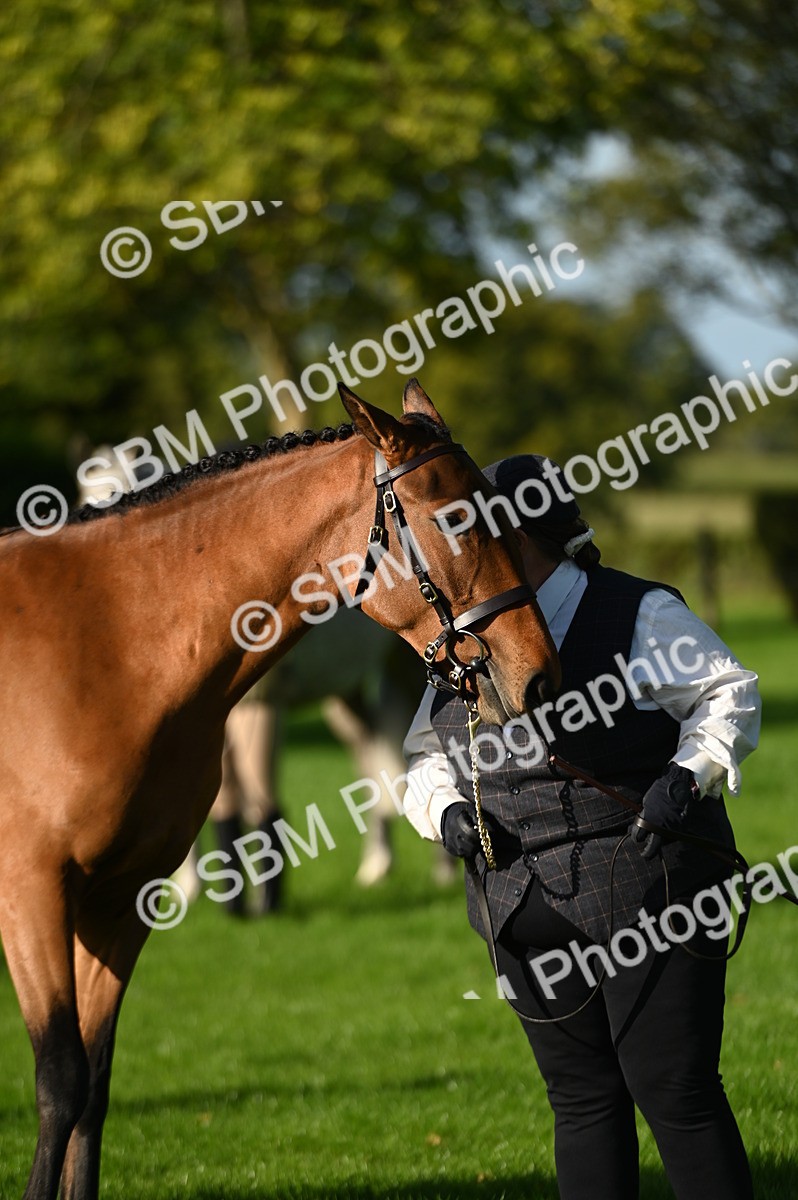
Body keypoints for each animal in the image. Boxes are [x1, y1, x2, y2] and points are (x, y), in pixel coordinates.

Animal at [0, 379, 559, 1200]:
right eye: (456, 518)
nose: (539, 673)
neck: (104, 642)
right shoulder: (33, 894)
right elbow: (63, 1081)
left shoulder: (117, 898)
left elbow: (93, 1087)